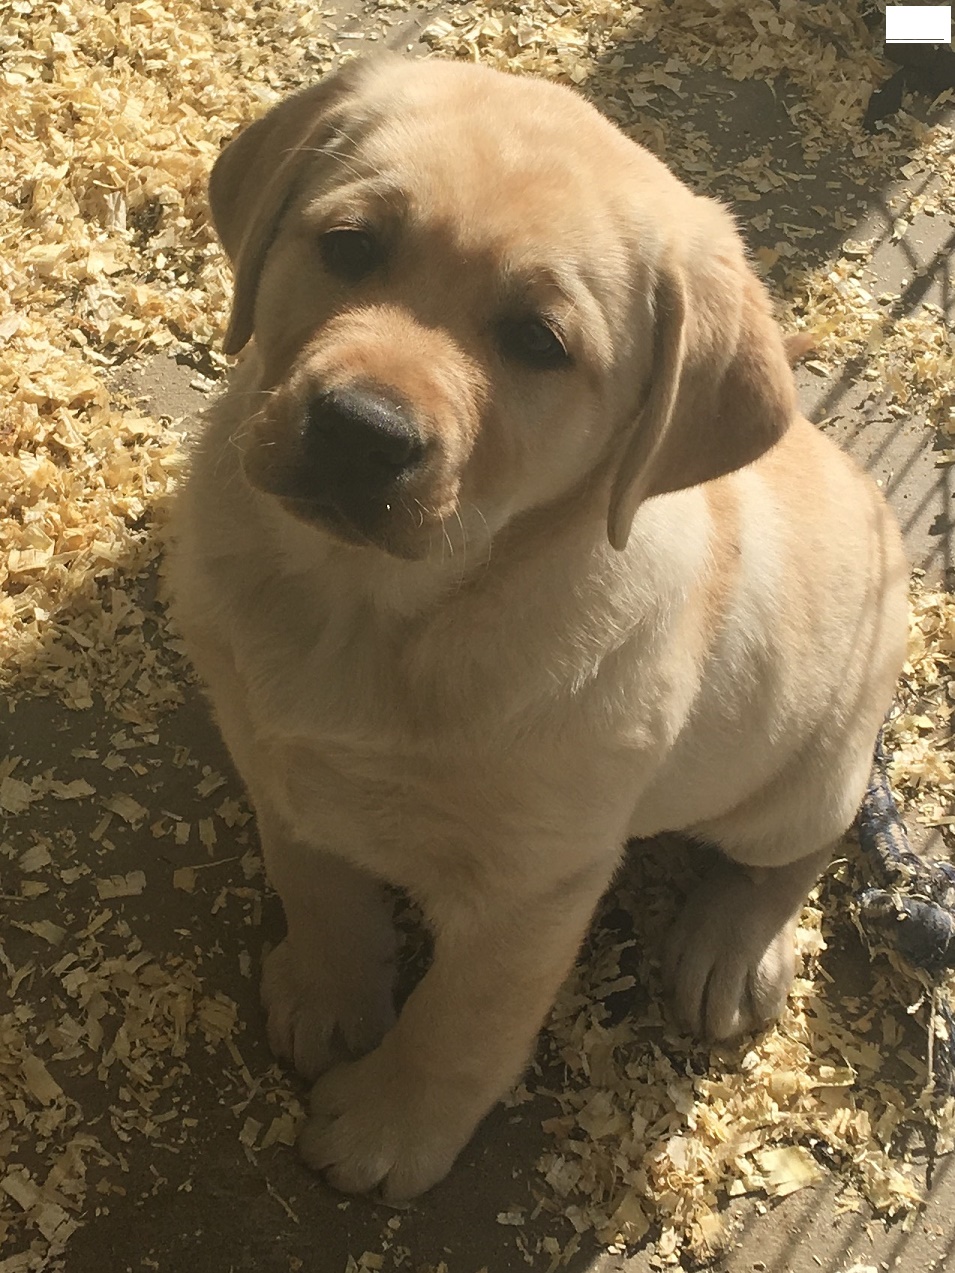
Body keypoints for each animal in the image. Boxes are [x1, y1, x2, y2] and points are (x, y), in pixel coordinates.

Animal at [166, 52, 911, 1201]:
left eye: (536, 343)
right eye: (349, 248)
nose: (359, 431)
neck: (365, 609)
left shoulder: (533, 886)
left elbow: (465, 1018)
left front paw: (391, 1126)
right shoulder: (275, 758)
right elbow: (316, 880)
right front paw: (330, 992)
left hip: (794, 780)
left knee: (803, 847)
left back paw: (730, 946)